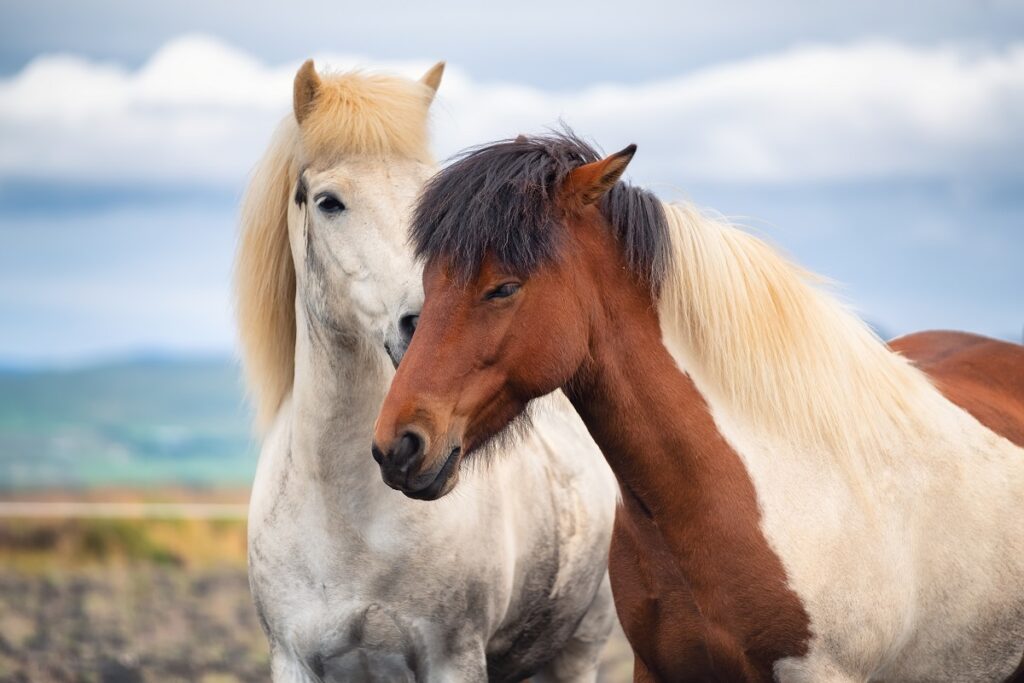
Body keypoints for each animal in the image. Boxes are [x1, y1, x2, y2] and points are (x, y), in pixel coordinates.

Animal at [233, 61, 614, 679]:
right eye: (328, 202)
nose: (424, 323)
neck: (353, 519)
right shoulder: (292, 660)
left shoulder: (453, 659)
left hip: (579, 651)